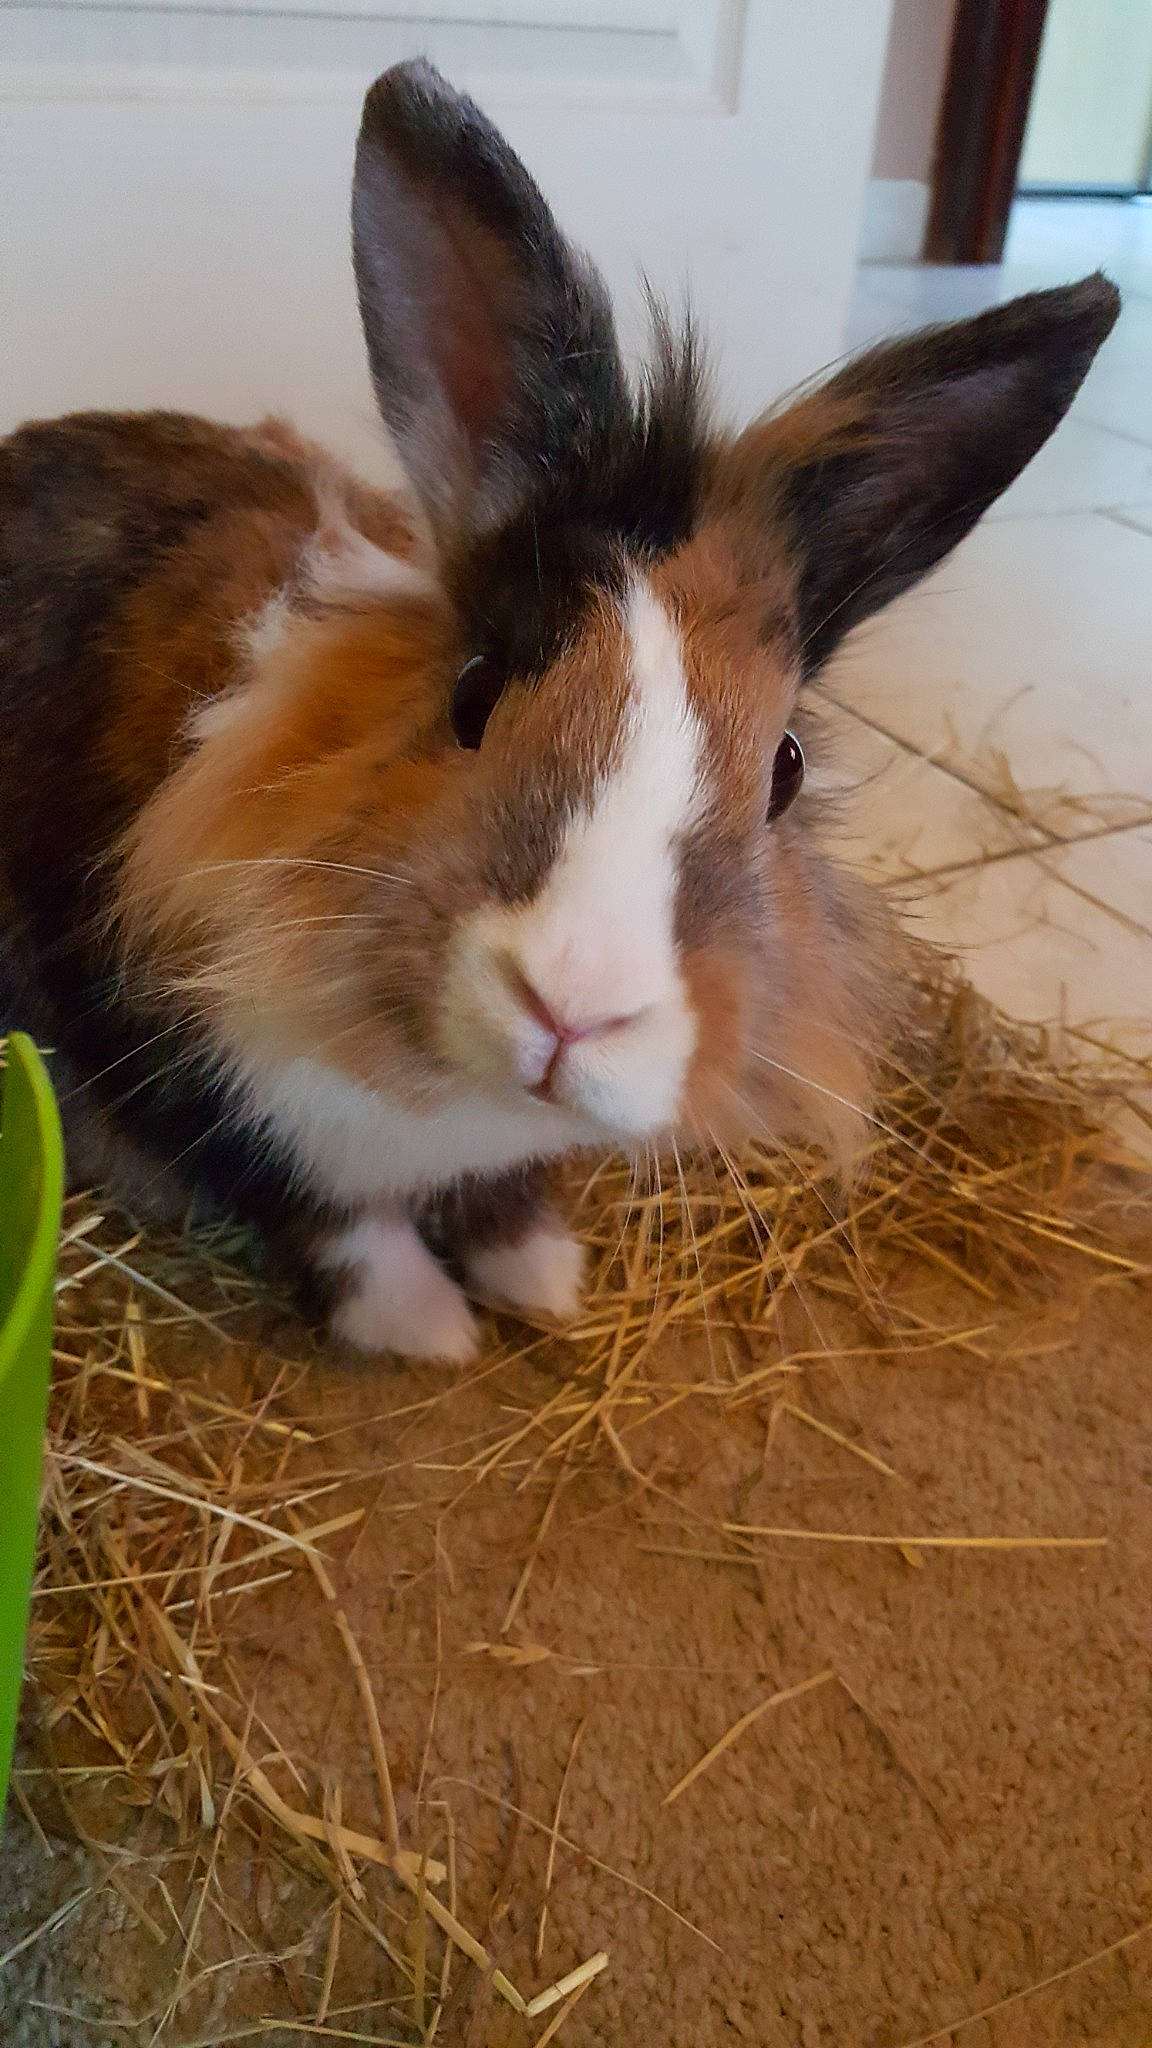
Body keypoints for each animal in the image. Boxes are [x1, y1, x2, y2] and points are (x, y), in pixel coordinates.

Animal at [0, 61, 1119, 1363]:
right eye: (474, 692)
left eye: (784, 767)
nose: (574, 1008)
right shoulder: (195, 1078)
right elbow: (332, 1216)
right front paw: (429, 1328)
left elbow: (499, 1189)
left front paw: (539, 1275)